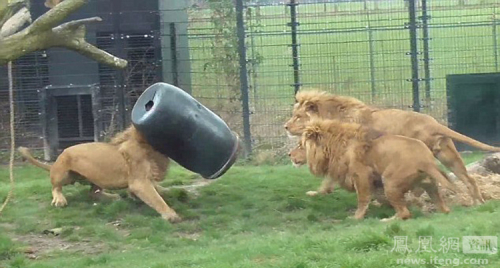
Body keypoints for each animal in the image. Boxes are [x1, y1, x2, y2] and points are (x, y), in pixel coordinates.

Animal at [18, 125, 182, 222]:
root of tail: (54, 163)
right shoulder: (139, 182)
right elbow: (156, 199)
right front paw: (171, 214)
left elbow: (161, 191)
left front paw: (174, 192)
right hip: (65, 174)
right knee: (55, 187)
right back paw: (59, 200)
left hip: (96, 178)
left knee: (92, 193)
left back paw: (112, 197)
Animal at [286, 90, 500, 205]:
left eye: (298, 117)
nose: (285, 127)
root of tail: (432, 123)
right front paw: (318, 193)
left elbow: (330, 179)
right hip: (448, 155)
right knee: (469, 179)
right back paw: (477, 203)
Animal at [290, 118, 458, 221]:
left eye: (300, 145)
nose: (289, 154)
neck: (333, 146)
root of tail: (427, 160)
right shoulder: (374, 180)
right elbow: (378, 196)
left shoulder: (362, 175)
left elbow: (363, 199)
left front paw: (356, 217)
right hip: (429, 185)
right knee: (444, 209)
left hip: (390, 181)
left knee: (405, 214)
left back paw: (387, 220)